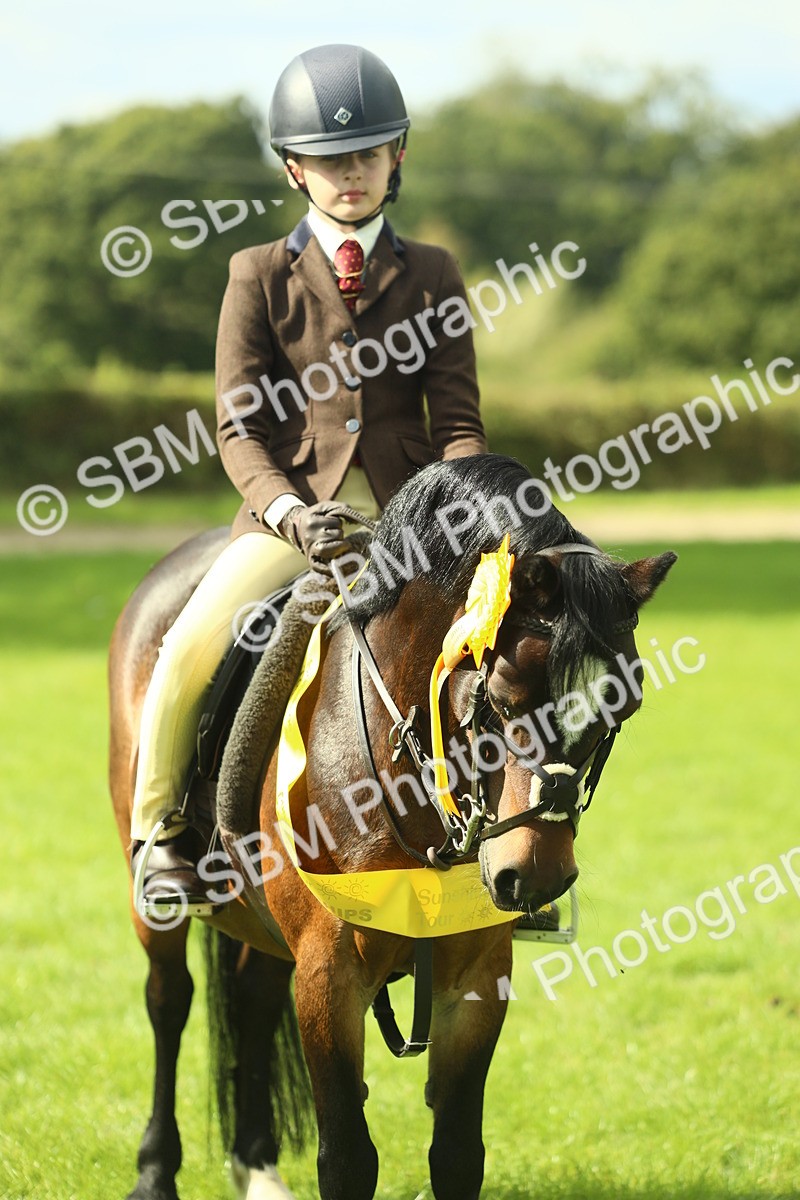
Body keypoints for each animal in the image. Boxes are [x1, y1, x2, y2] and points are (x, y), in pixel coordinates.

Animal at [109, 453, 676, 1200]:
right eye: (502, 698)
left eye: (623, 709)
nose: (535, 875)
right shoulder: (328, 975)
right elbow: (348, 1159)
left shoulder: (478, 974)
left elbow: (458, 1154)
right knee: (168, 1001)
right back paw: (154, 1168)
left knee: (254, 999)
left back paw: (257, 1164)